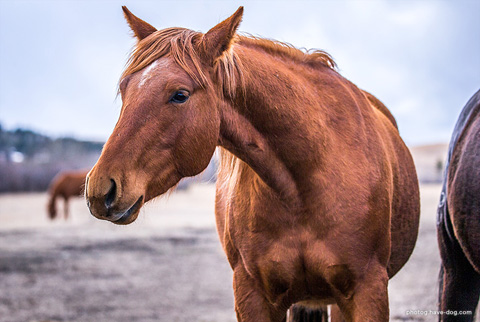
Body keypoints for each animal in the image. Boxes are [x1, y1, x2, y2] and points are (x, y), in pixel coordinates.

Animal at [85, 7, 420, 322]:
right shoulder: (252, 294)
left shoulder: (366, 291)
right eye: (125, 89)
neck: (304, 186)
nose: (100, 189)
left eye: (179, 95)